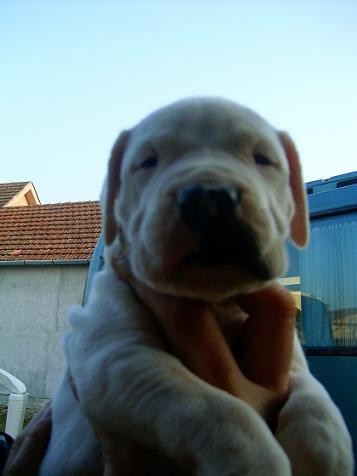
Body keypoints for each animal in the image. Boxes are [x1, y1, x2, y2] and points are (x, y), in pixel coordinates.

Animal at [38, 97, 350, 476]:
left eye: (263, 158)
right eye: (148, 161)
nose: (210, 198)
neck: (215, 299)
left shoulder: (292, 363)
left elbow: (316, 405)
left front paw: (323, 458)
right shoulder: (116, 359)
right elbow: (217, 411)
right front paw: (255, 462)